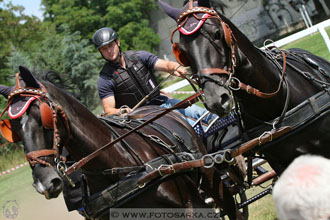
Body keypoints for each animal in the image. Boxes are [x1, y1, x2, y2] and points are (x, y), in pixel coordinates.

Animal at [0, 66, 242, 220]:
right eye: (12, 130)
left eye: (43, 116)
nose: (43, 182)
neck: (116, 166)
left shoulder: (193, 205)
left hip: (210, 176)